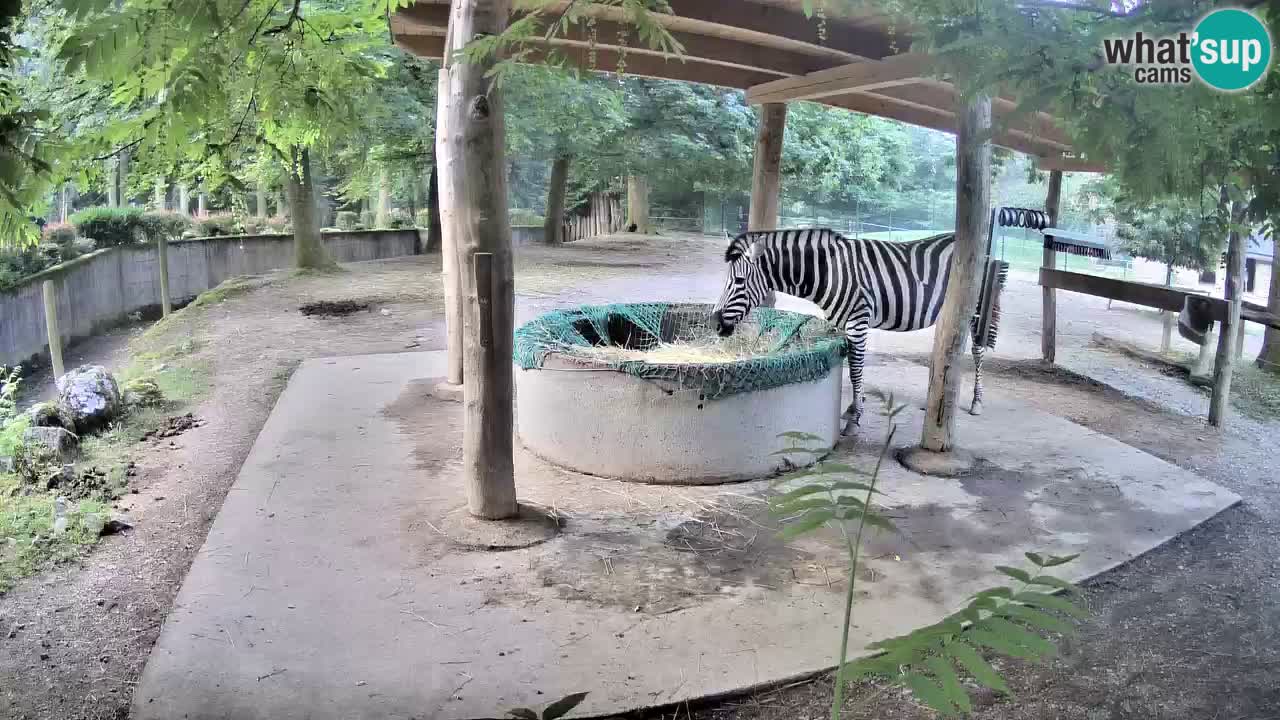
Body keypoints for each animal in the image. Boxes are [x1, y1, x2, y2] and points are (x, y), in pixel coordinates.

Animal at [711, 228, 1008, 434]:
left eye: (738, 281)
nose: (714, 323)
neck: (828, 273)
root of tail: (985, 252)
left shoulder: (857, 321)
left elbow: (855, 370)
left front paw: (854, 419)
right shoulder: (844, 324)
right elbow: (850, 366)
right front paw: (854, 407)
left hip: (976, 310)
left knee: (978, 352)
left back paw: (976, 401)